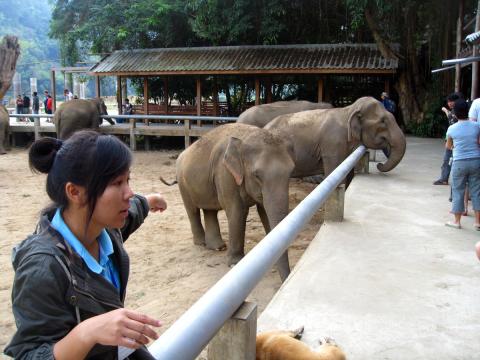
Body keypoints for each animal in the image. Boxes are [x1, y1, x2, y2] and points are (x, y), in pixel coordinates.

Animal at [172, 124, 294, 282]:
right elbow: (237, 212)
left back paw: (217, 247)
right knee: (192, 210)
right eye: (257, 175)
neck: (245, 137)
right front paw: (235, 263)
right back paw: (201, 243)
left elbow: (264, 211)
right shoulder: (224, 172)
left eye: (291, 172)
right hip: (183, 183)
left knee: (209, 210)